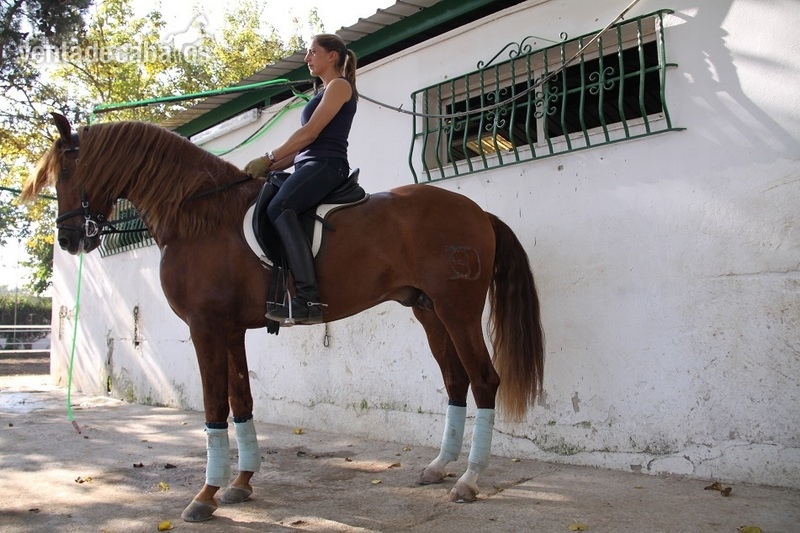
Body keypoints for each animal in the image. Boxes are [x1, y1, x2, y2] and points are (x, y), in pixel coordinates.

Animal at [22, 112, 545, 522]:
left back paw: (469, 480)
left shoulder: (205, 329)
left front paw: (205, 496)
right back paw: (439, 467)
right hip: (429, 312)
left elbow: (214, 409)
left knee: (484, 381)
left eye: (68, 168)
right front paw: (241, 484)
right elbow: (241, 402)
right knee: (456, 381)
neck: (200, 217)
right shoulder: (231, 330)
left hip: (458, 310)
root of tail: (477, 212)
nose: (69, 239)